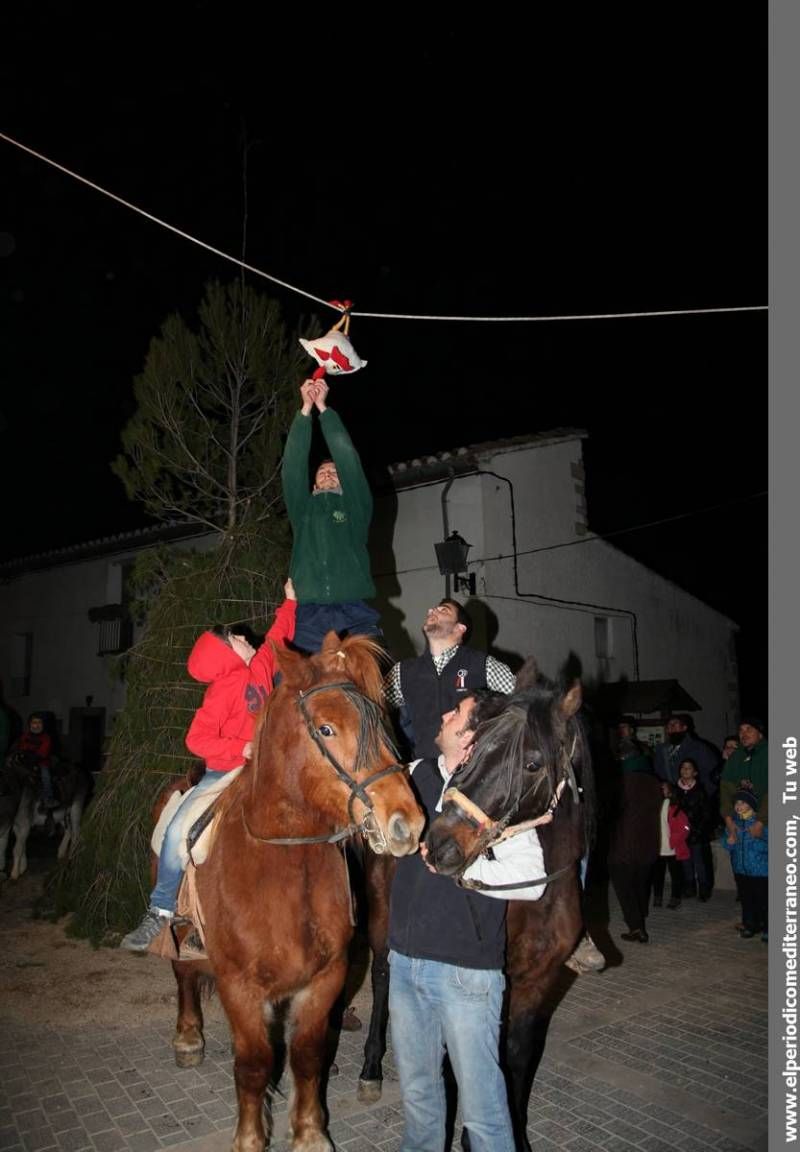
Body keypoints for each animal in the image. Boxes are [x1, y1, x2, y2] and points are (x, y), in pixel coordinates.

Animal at [165, 631, 426, 1152]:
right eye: (326, 730)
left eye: (381, 726)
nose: (406, 823)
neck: (281, 867)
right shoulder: (239, 986)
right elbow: (251, 1065)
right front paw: (250, 1138)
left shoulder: (325, 978)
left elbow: (306, 1055)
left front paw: (309, 1133)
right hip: (181, 933)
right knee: (182, 971)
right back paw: (188, 1036)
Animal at [359, 658, 590, 1152]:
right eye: (473, 747)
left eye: (532, 763)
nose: (440, 841)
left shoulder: (536, 983)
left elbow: (514, 1058)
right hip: (381, 920)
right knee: (383, 976)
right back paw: (370, 1068)